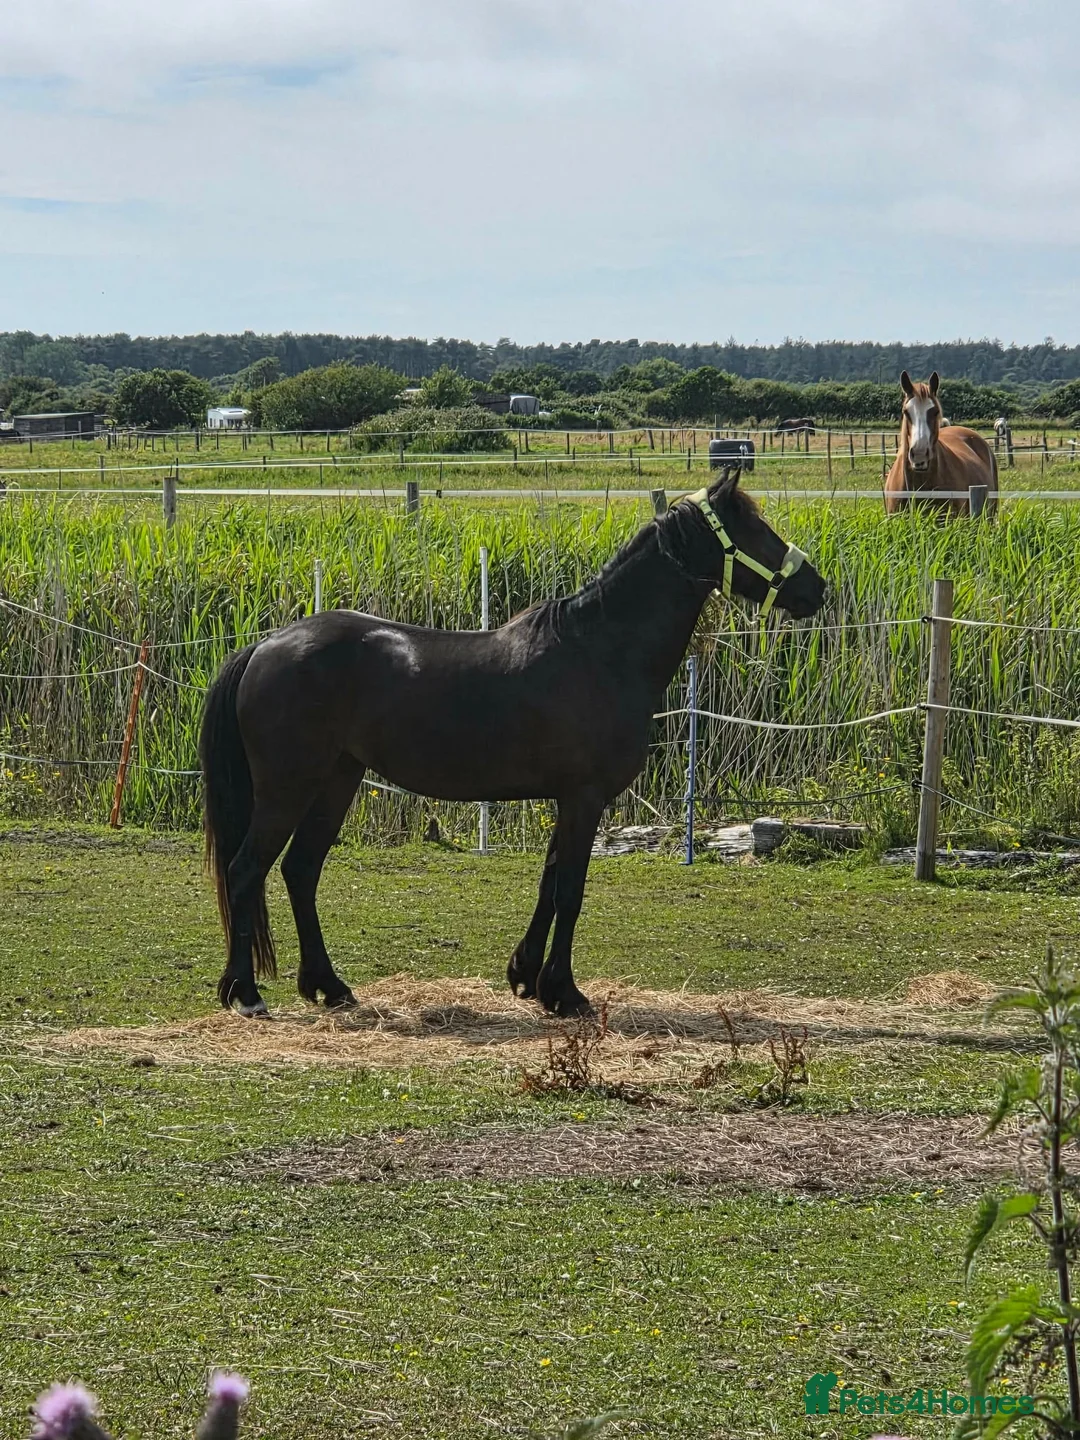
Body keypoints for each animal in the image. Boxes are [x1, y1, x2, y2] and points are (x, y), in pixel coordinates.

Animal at [198, 472, 826, 1019]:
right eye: (752, 528)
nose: (815, 587)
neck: (600, 651)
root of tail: (265, 646)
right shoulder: (584, 798)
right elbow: (569, 891)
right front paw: (565, 994)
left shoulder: (568, 800)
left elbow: (549, 885)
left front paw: (526, 977)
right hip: (288, 788)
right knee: (246, 869)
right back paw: (247, 995)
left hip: (336, 781)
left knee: (300, 871)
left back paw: (329, 987)